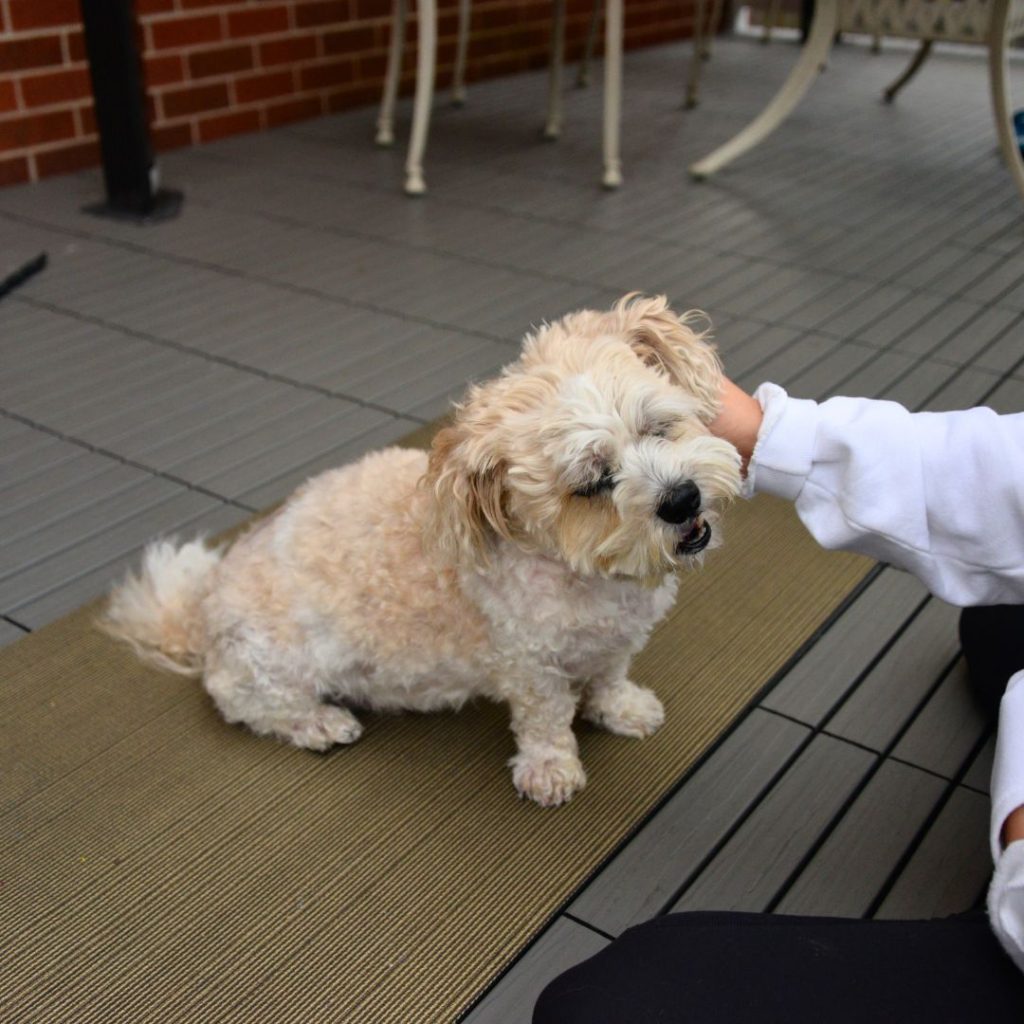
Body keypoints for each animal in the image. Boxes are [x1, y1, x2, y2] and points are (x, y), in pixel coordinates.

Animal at [99, 296, 741, 806]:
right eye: (592, 484)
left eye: (658, 427)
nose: (681, 499)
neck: (587, 574)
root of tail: (200, 614)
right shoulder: (530, 664)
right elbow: (547, 720)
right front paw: (551, 770)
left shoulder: (614, 642)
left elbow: (609, 676)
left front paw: (622, 709)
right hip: (272, 666)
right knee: (250, 705)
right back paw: (321, 723)